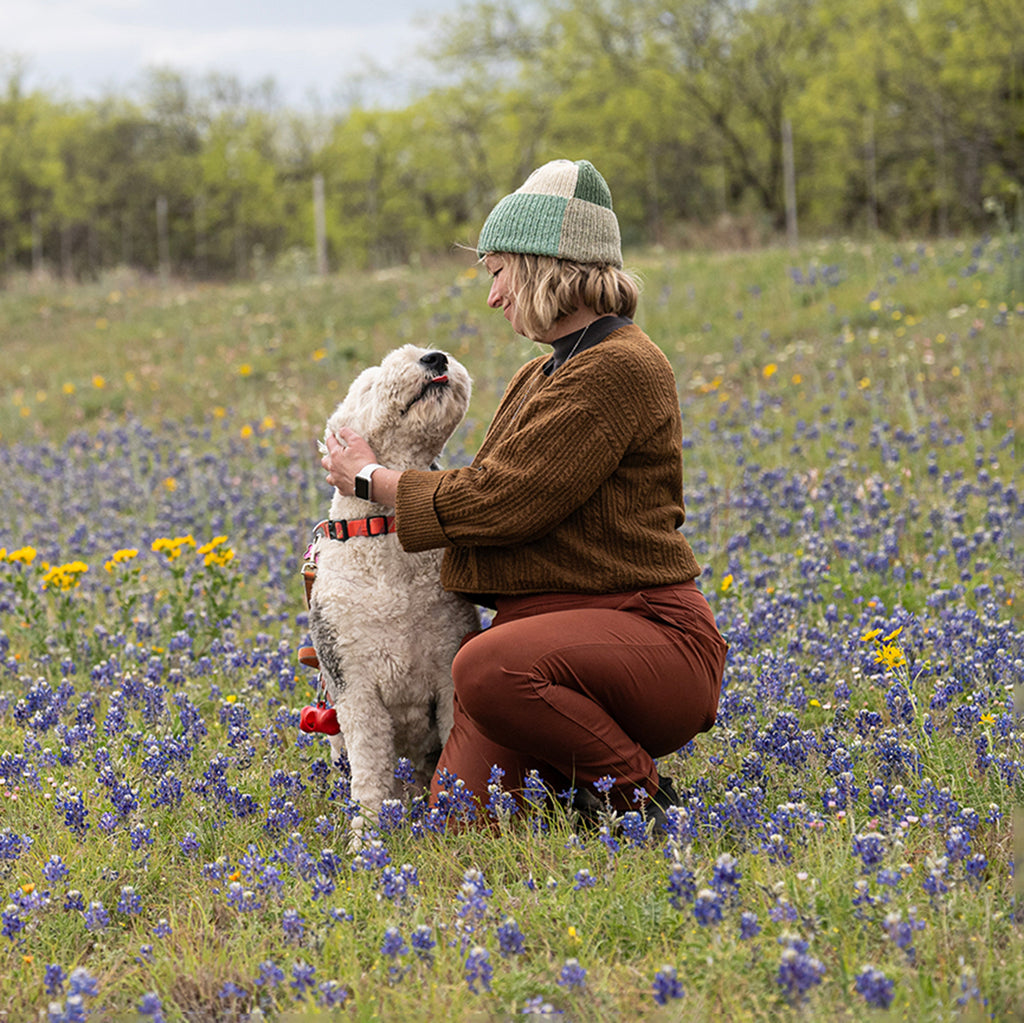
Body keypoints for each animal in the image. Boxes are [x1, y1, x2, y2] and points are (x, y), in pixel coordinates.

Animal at [305, 344, 477, 831]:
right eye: (367, 384)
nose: (435, 358)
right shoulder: (355, 686)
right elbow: (369, 775)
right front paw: (365, 838)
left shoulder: (447, 668)